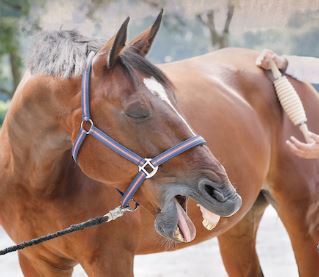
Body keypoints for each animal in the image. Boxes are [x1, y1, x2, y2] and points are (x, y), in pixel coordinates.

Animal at [0, 13, 318, 276]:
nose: (224, 193)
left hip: (303, 219)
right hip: (239, 228)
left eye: (175, 100)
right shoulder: (35, 261)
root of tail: (279, 67)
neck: (36, 184)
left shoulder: (110, 258)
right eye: (137, 111)